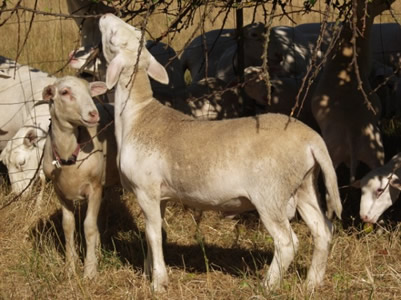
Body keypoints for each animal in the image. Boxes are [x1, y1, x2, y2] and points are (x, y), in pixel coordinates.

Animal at [43, 75, 119, 278]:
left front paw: (90, 271)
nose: (93, 114)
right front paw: (70, 268)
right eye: (64, 92)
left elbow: (88, 227)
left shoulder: (94, 188)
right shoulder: (60, 192)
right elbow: (68, 227)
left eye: (89, 91)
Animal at [99, 14, 340, 292]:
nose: (104, 16)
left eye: (113, 37)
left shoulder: (146, 189)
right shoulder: (160, 196)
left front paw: (158, 283)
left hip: (270, 193)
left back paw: (267, 287)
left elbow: (153, 234)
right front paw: (149, 271)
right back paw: (312, 283)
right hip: (304, 184)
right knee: (323, 230)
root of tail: (312, 139)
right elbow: (155, 232)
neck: (138, 115)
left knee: (287, 242)